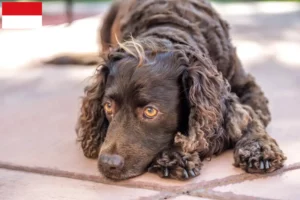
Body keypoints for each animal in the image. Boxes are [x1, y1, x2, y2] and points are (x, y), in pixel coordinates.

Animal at [47, 0, 286, 180]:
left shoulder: (247, 88)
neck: (169, 27)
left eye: (150, 111)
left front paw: (259, 149)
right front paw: (175, 156)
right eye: (108, 106)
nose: (107, 164)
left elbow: (251, 117)